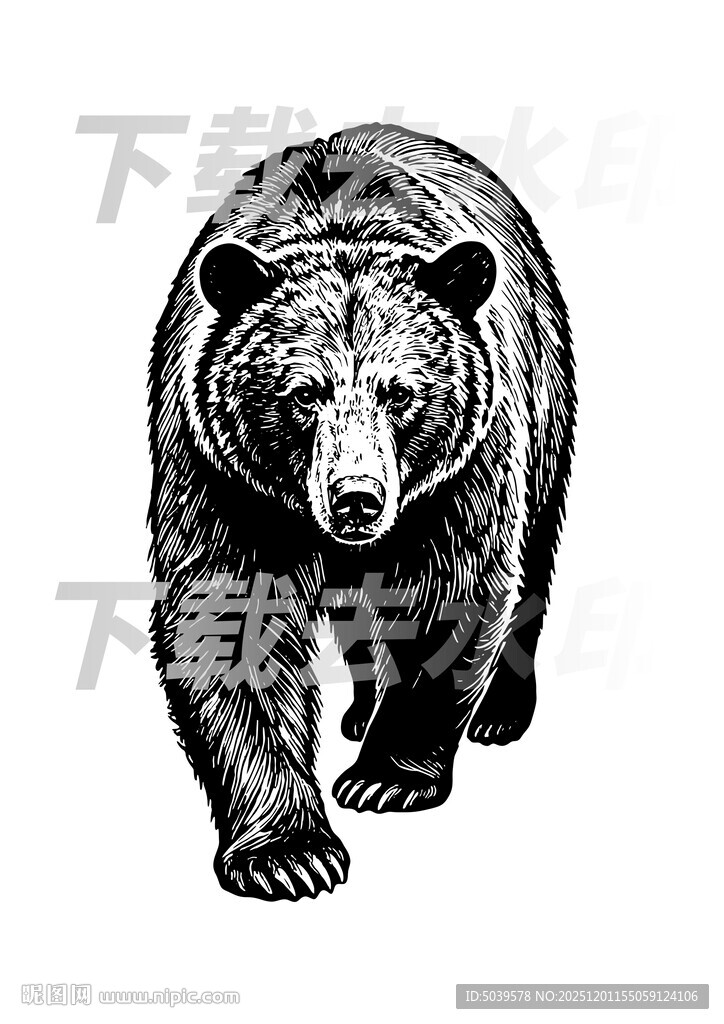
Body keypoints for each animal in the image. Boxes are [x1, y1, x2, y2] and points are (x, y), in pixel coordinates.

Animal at [148, 123, 576, 901]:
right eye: (302, 392)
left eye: (400, 391)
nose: (357, 497)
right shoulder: (223, 475)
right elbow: (231, 618)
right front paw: (288, 852)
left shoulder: (456, 473)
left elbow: (451, 592)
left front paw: (387, 780)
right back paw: (357, 710)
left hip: (547, 395)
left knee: (535, 555)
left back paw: (500, 710)